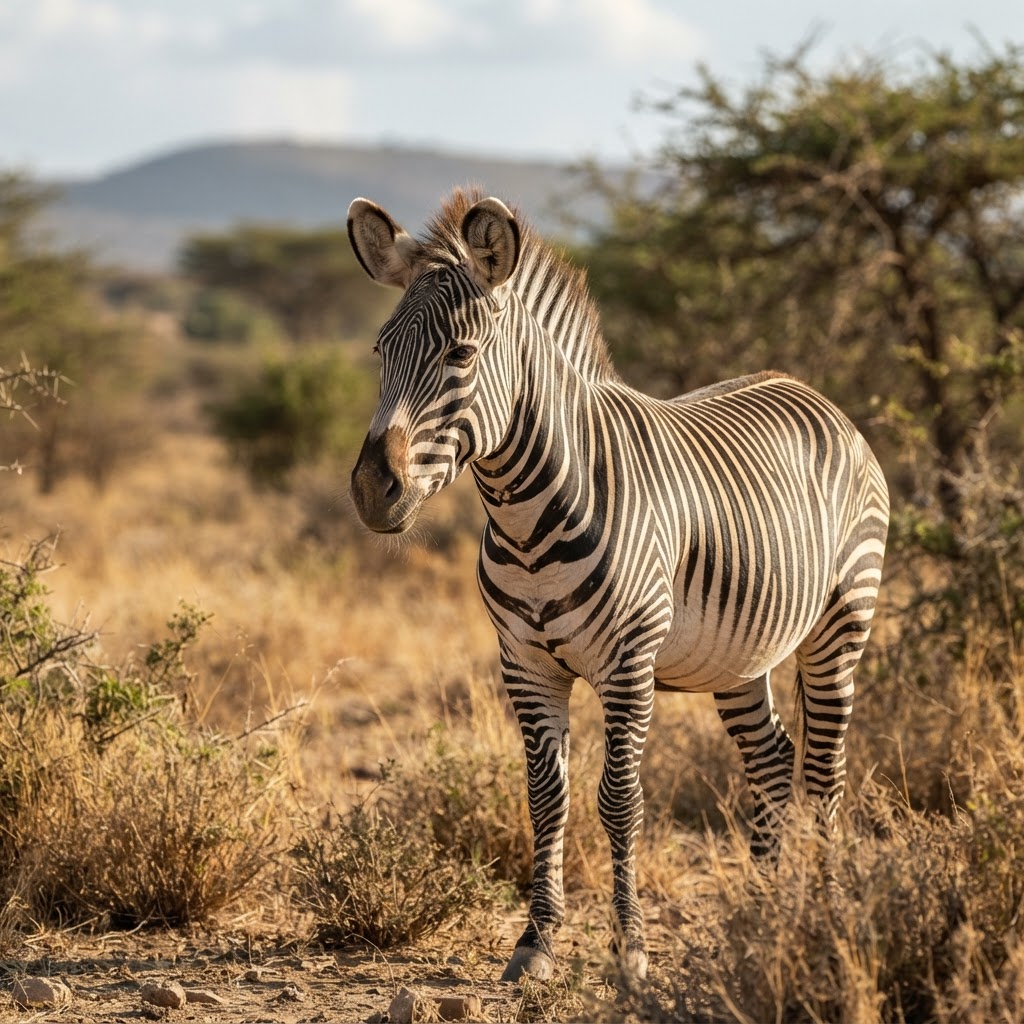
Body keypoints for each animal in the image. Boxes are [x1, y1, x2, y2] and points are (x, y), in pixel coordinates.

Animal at [347, 188, 889, 983]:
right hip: (738, 654)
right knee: (771, 759)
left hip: (842, 620)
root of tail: (810, 391)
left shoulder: (628, 664)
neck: (525, 516)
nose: (370, 490)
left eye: (460, 354)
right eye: (381, 353)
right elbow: (547, 797)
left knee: (824, 767)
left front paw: (629, 948)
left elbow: (619, 799)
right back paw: (766, 911)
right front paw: (536, 943)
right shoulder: (525, 663)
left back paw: (821, 910)